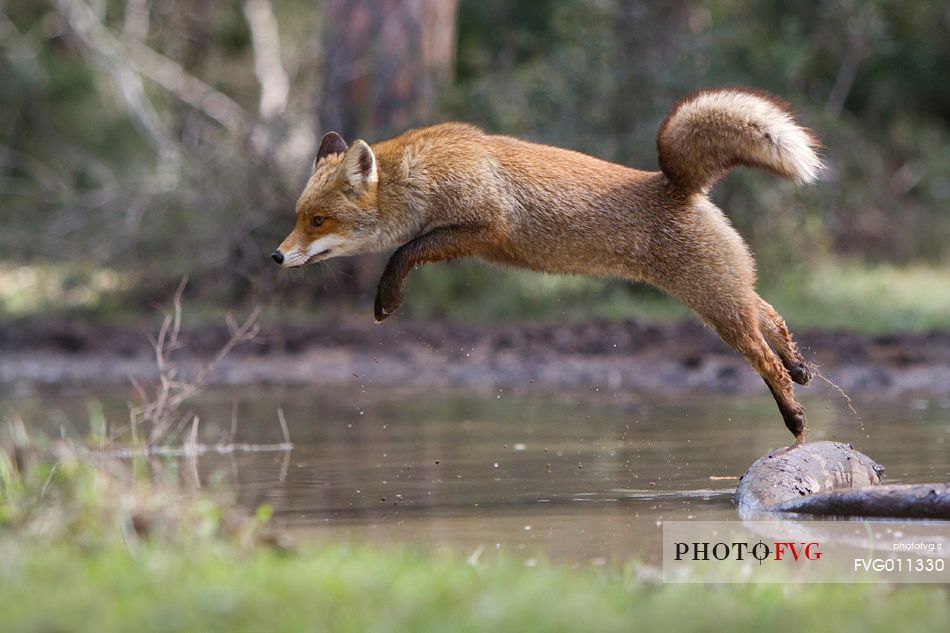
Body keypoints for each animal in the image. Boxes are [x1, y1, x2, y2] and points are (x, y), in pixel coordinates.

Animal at [276, 87, 824, 440]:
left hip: (716, 306)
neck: (421, 175)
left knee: (765, 360)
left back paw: (795, 418)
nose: (276, 255)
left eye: (318, 221)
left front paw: (386, 297)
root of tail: (675, 185)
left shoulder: (484, 227)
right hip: (725, 292)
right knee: (771, 316)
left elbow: (402, 252)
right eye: (299, 217)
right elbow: (407, 249)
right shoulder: (473, 240)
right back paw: (801, 368)